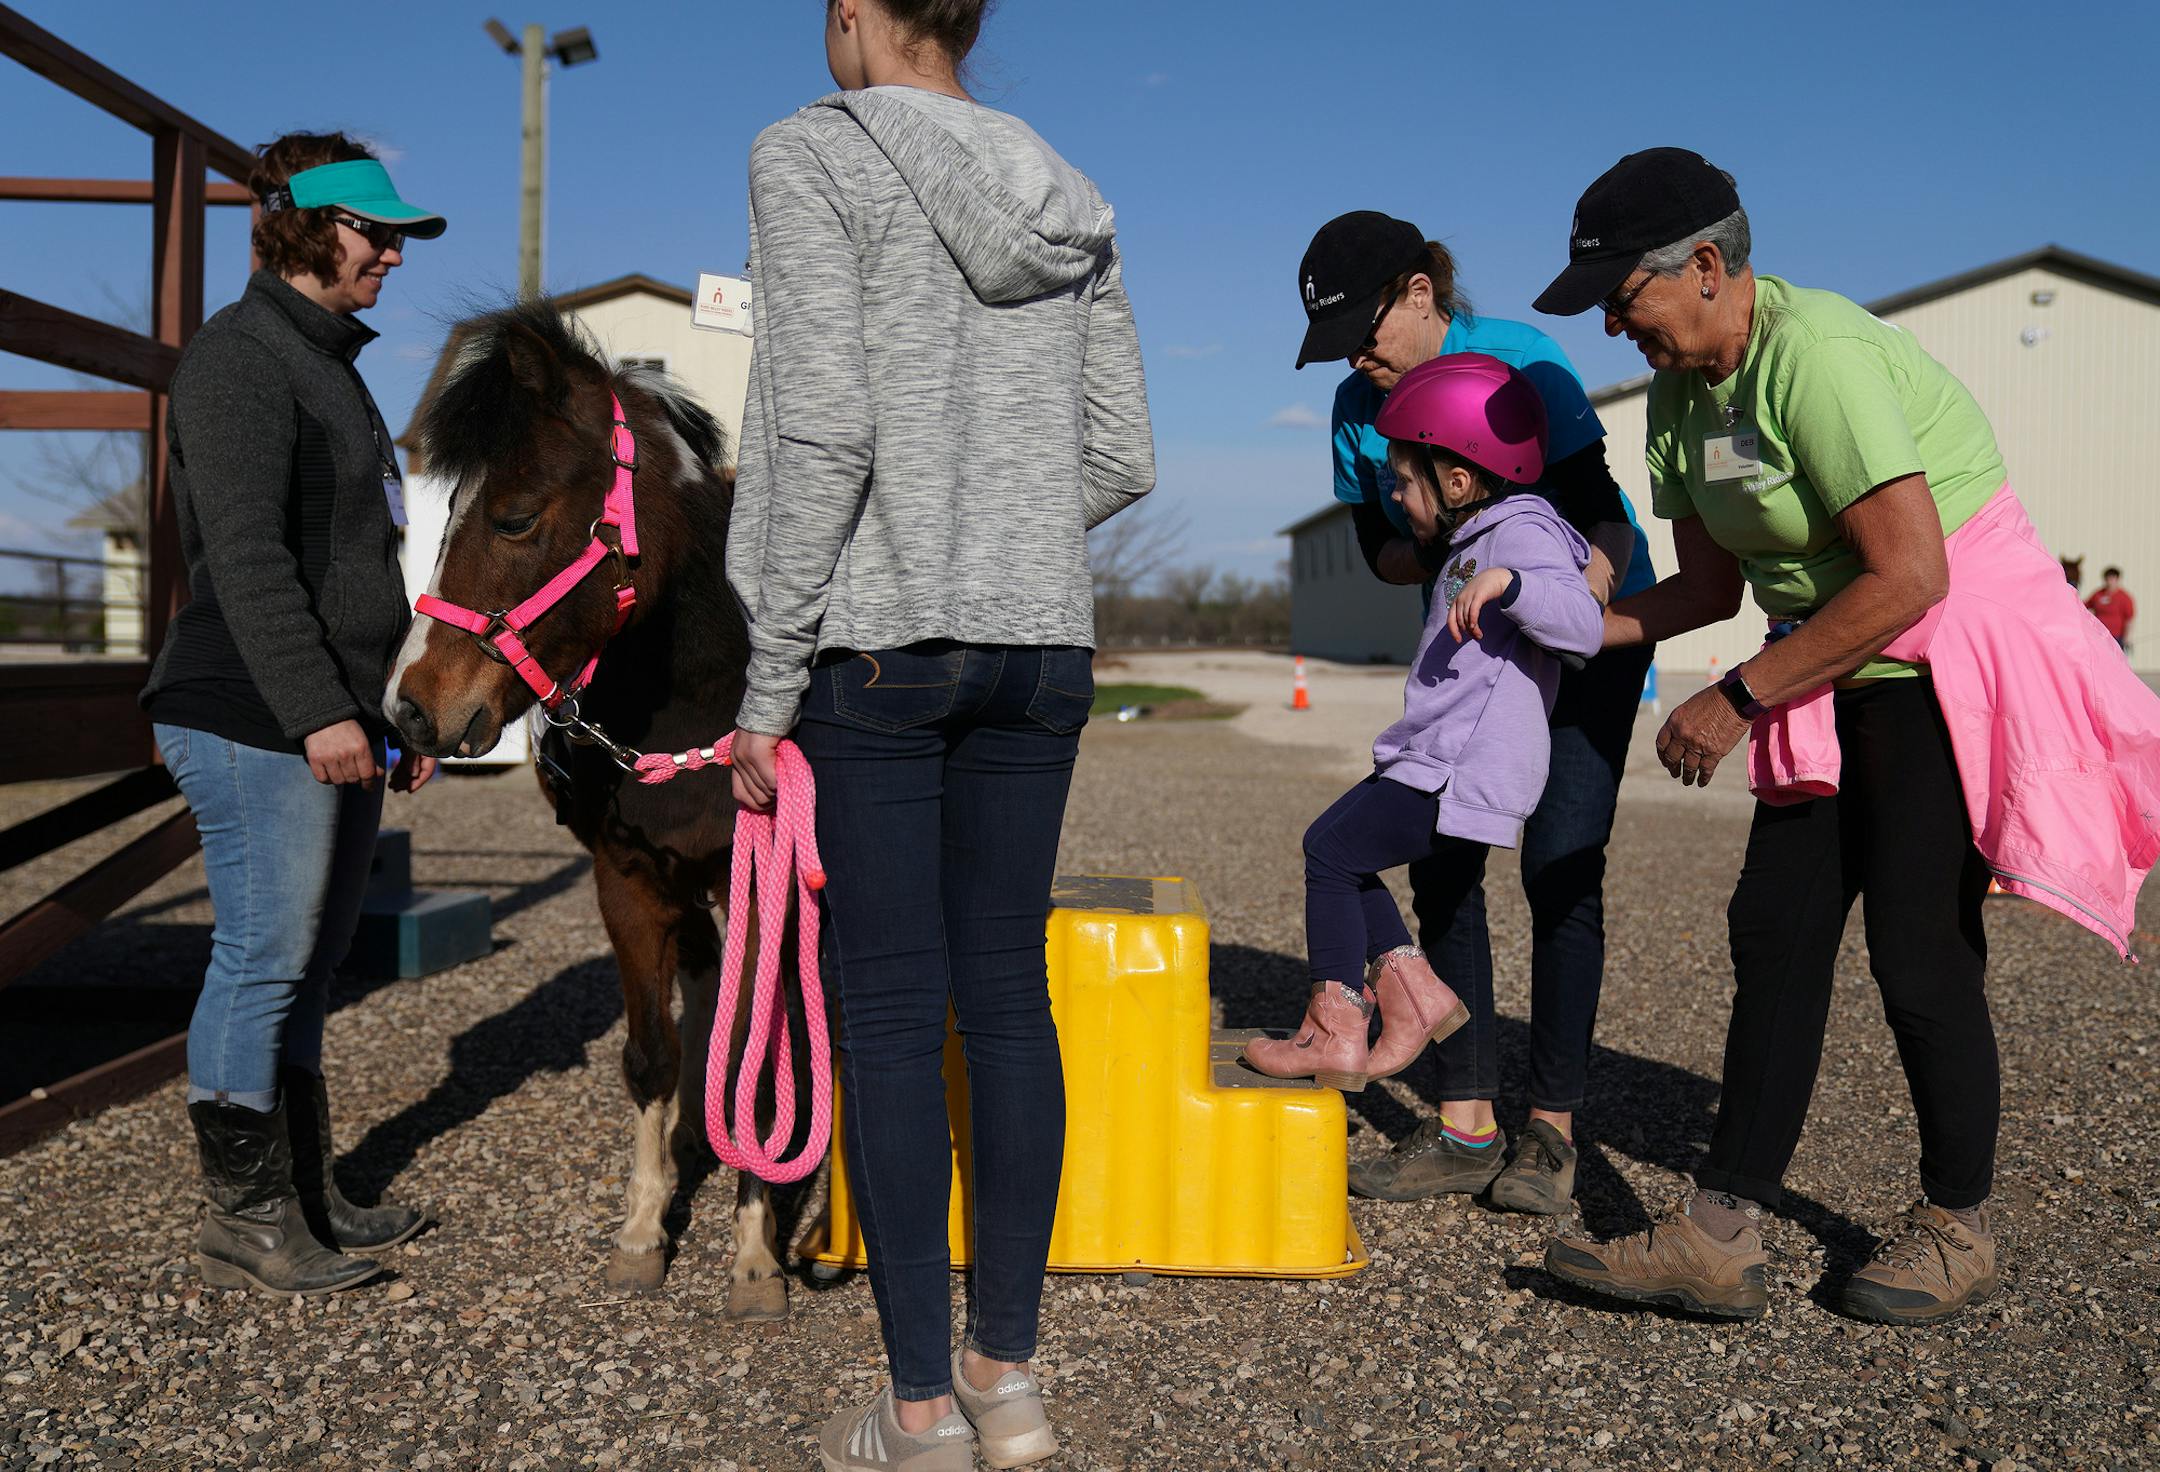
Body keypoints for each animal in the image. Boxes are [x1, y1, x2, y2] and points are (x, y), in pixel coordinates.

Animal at [383, 300, 807, 1320]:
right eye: (442, 515)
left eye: (514, 516)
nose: (409, 709)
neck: (700, 705)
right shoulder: (627, 879)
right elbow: (649, 1056)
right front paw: (644, 1230)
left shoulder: (758, 881)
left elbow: (758, 1056)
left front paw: (755, 1257)